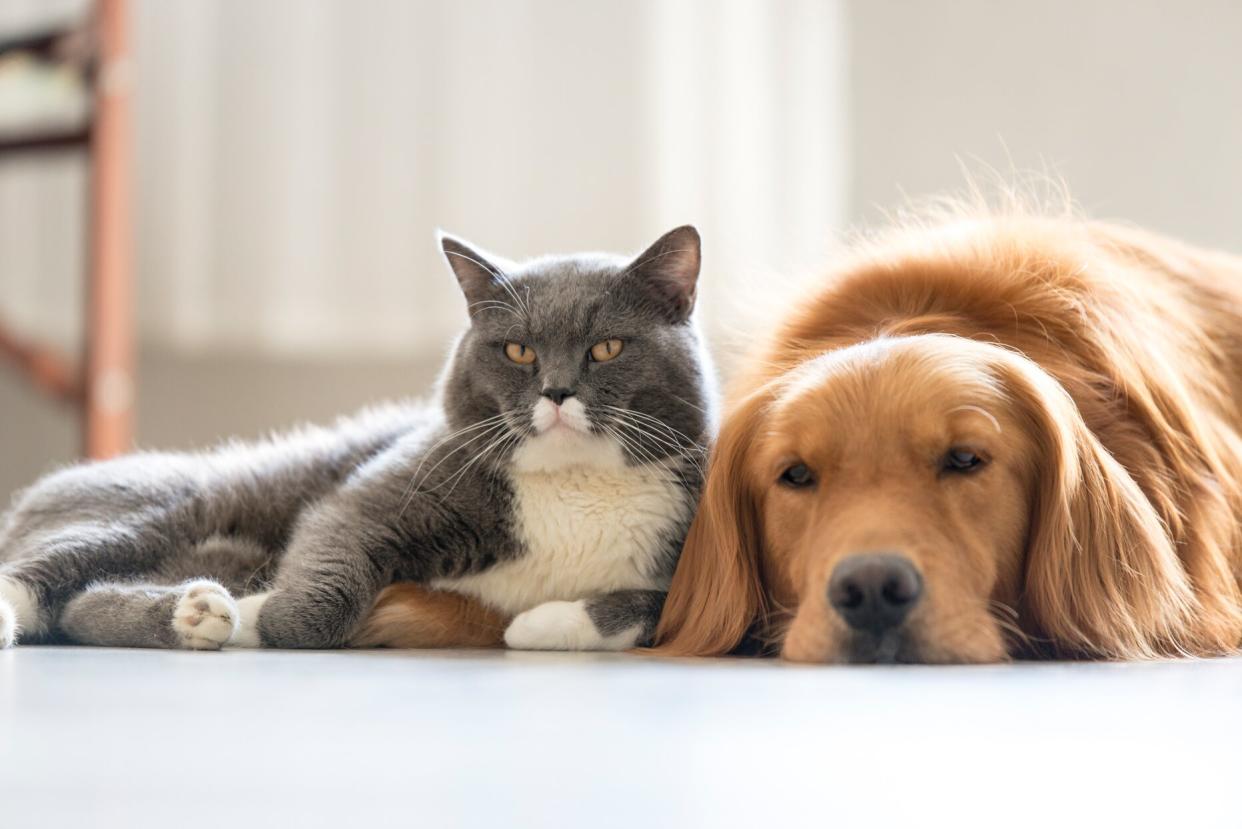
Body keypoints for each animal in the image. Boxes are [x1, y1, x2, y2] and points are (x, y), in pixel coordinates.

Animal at [0, 228, 720, 656]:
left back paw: (196, 612)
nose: (558, 390)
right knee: (48, 574)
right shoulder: (383, 491)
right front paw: (267, 616)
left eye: (607, 348)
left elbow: (659, 609)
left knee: (81, 605)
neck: (575, 485)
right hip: (165, 504)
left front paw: (540, 623)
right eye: (518, 351)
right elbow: (332, 542)